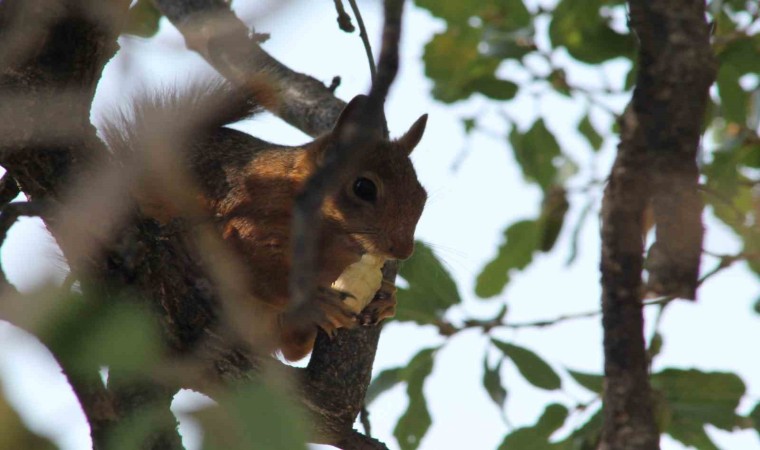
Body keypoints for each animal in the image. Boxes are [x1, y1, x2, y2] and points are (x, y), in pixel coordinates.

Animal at [102, 80, 428, 362]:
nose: (403, 251)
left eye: (421, 196)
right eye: (364, 188)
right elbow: (255, 270)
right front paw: (311, 301)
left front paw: (386, 298)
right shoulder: (248, 214)